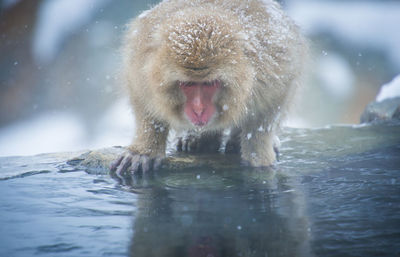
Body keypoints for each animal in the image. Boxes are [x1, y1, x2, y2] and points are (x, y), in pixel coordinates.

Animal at [111, 0, 308, 174]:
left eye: (209, 84)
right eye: (188, 84)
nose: (198, 109)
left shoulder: (272, 72)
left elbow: (272, 106)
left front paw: (257, 153)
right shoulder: (142, 66)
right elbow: (143, 98)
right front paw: (144, 149)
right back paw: (198, 138)